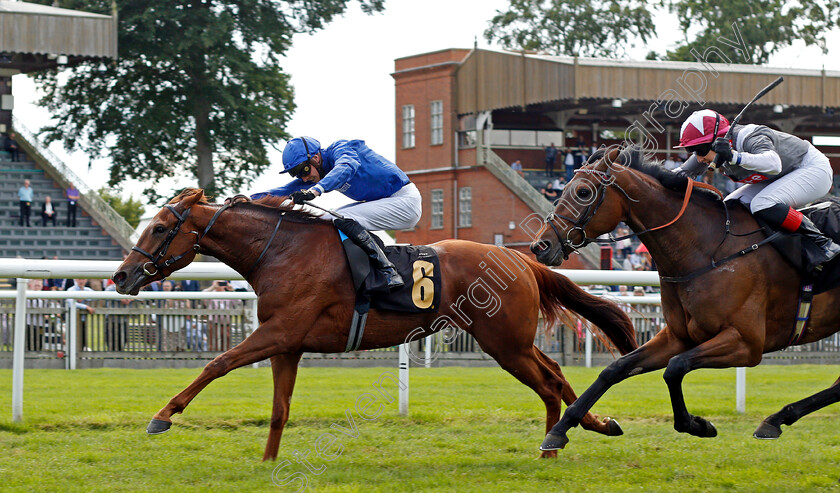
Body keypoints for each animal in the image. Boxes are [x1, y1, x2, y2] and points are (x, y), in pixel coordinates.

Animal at [113, 187, 636, 458]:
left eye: (160, 228)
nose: (121, 275)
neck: (280, 250)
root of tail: (522, 258)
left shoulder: (277, 333)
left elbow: (216, 364)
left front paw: (163, 416)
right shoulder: (287, 344)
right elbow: (279, 409)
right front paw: (267, 461)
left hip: (504, 343)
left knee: (547, 384)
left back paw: (551, 446)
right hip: (513, 341)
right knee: (557, 373)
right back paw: (594, 425)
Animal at [532, 145, 840, 450]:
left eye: (584, 192)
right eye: (564, 188)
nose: (540, 245)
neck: (707, 249)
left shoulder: (746, 343)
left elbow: (675, 367)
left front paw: (696, 424)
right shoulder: (677, 336)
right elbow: (616, 368)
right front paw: (560, 429)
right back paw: (776, 419)